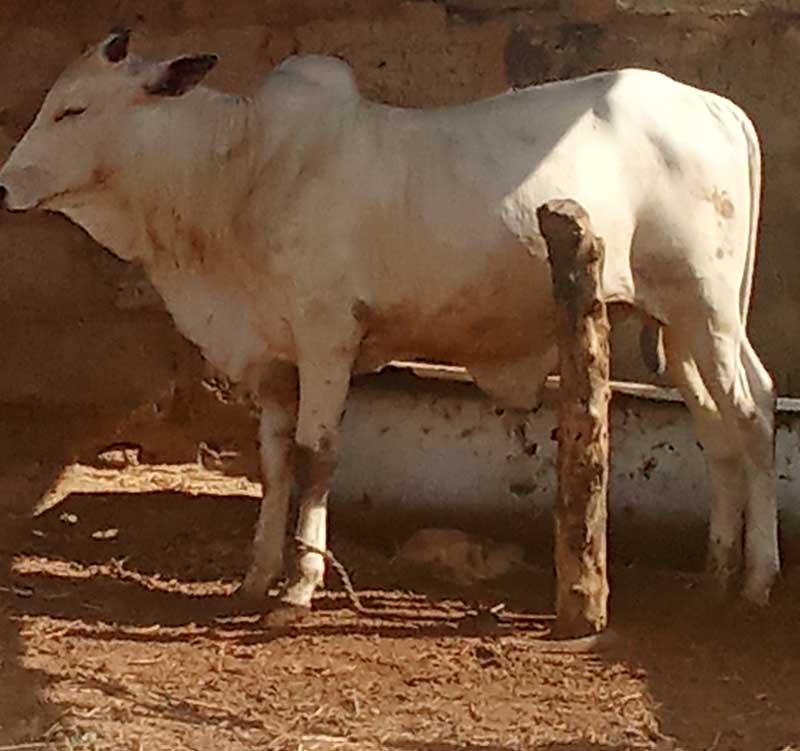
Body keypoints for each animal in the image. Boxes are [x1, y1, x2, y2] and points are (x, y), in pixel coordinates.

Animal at [0, 29, 779, 613]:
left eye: (73, 110)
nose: (5, 182)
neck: (238, 173)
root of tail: (717, 108)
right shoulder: (271, 355)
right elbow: (274, 462)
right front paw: (255, 575)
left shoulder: (327, 337)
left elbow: (316, 457)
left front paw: (299, 587)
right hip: (677, 324)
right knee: (720, 427)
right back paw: (715, 570)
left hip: (706, 307)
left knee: (751, 416)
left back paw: (758, 578)